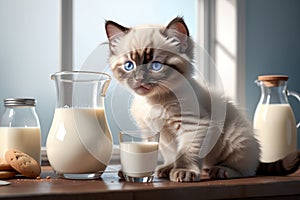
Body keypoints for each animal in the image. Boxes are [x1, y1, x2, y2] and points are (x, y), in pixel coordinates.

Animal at [104, 17, 298, 182]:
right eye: (129, 66)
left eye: (156, 66)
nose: (139, 79)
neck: (154, 101)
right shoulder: (153, 132)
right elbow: (168, 152)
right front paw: (162, 168)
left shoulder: (194, 124)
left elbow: (187, 152)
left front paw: (184, 171)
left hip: (236, 138)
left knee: (247, 169)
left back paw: (221, 170)